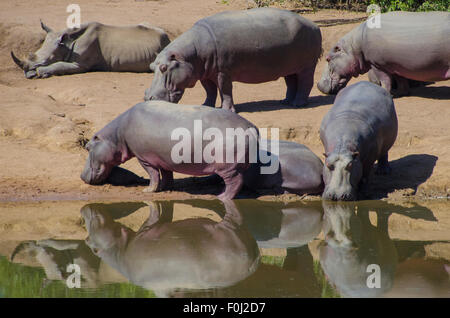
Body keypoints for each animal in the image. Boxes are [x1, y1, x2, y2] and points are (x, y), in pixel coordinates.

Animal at [79, 100, 258, 199]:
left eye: (87, 147)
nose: (81, 176)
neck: (117, 135)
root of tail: (251, 127)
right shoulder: (163, 158)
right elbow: (166, 174)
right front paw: (165, 188)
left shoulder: (144, 158)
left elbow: (153, 175)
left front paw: (148, 190)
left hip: (227, 166)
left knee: (235, 182)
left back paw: (221, 197)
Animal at [145, 7, 324, 112]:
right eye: (152, 66)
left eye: (164, 68)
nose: (147, 98)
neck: (189, 55)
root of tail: (315, 25)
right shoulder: (204, 73)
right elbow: (209, 91)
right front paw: (206, 106)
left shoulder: (223, 72)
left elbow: (225, 91)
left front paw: (226, 110)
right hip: (289, 66)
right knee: (291, 82)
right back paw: (285, 102)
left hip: (307, 65)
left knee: (306, 82)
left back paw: (298, 104)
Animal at [316, 11, 450, 95]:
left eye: (328, 58)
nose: (318, 85)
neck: (354, 47)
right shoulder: (397, 65)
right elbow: (401, 80)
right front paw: (400, 93)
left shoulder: (377, 64)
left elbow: (385, 80)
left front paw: (386, 93)